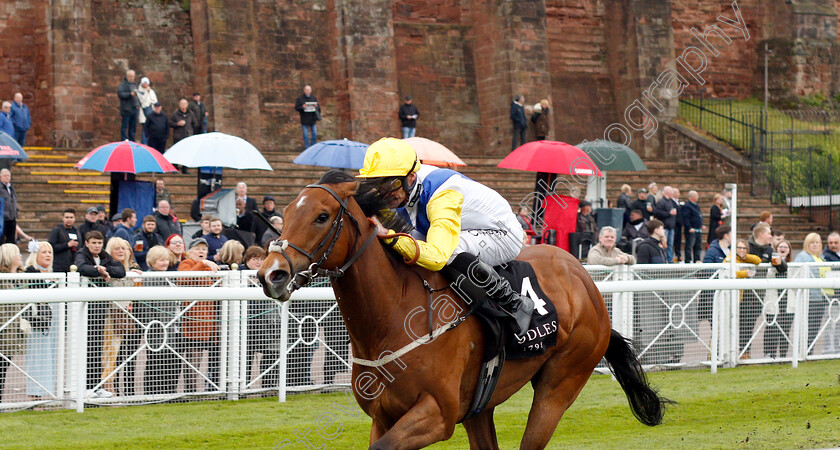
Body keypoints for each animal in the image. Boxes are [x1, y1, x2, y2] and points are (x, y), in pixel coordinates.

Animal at [258, 171, 668, 446]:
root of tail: (585, 280)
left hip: (561, 383)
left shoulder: (437, 414)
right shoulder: (384, 416)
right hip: (479, 407)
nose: (270, 274)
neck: (391, 315)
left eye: (322, 216)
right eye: (286, 213)